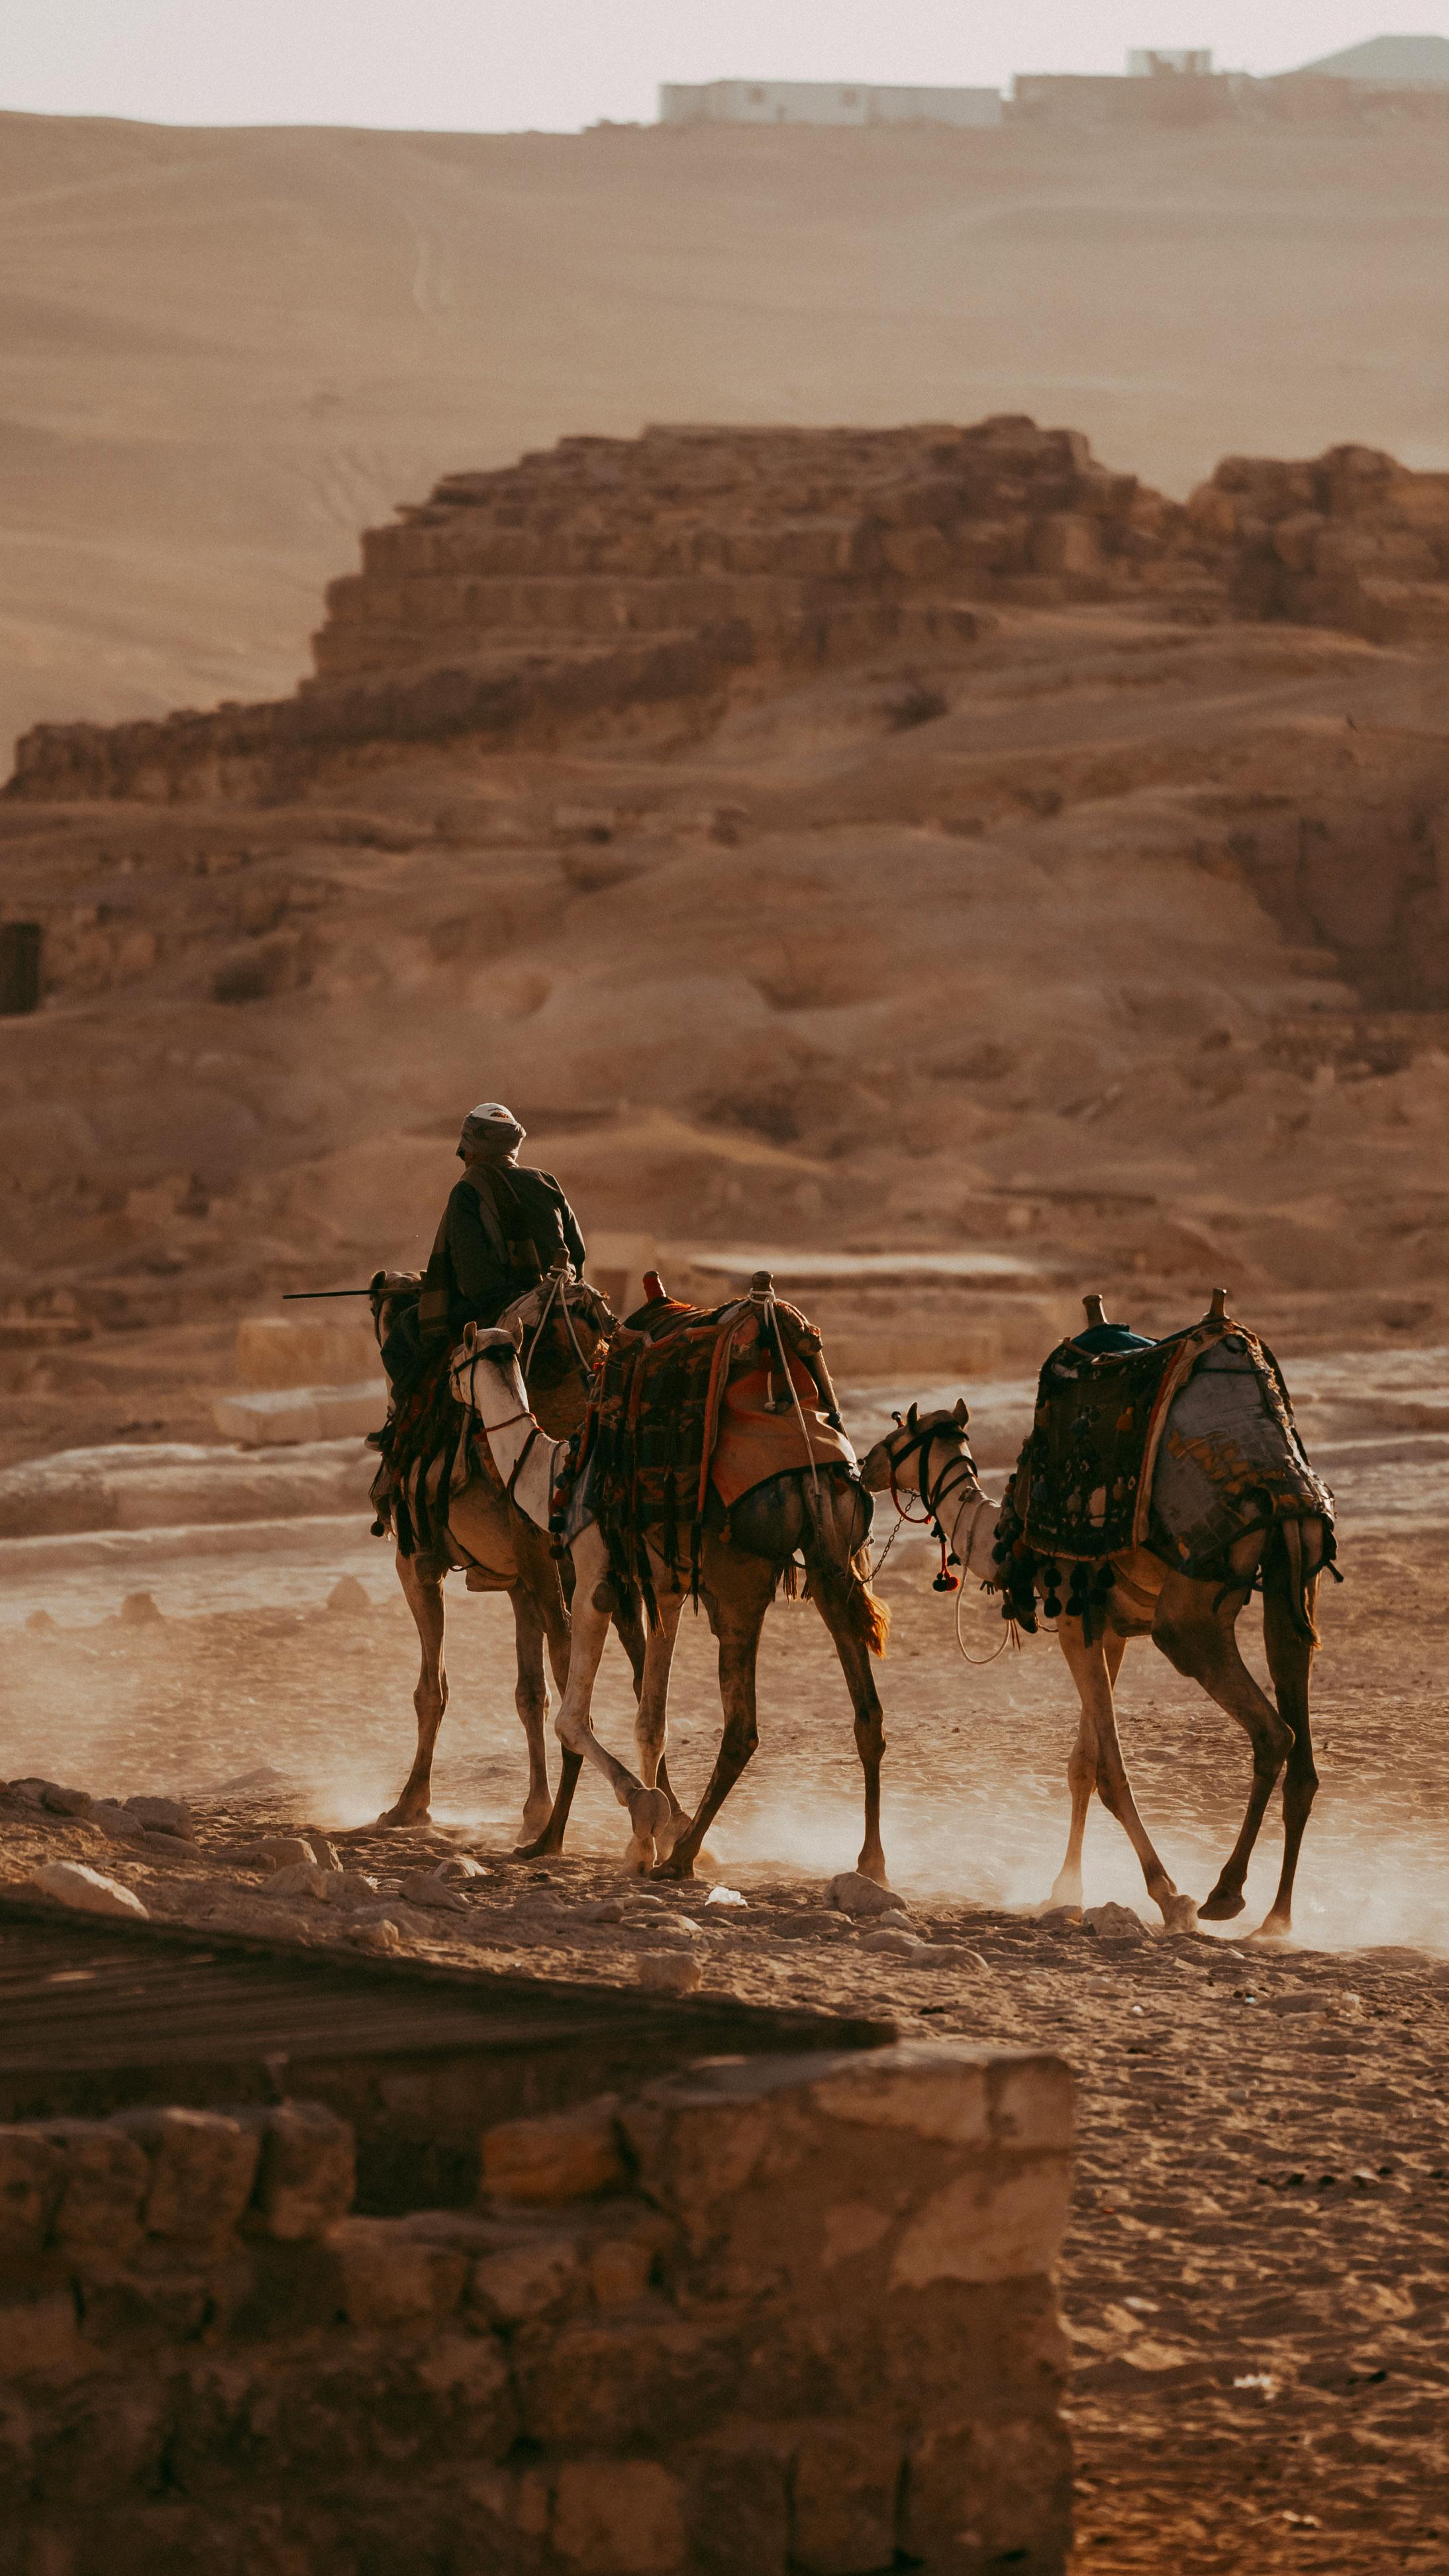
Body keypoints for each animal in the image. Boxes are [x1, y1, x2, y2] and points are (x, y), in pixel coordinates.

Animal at [363, 1262, 639, 1834]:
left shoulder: (417, 1563)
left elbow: (431, 1690)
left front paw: (410, 1803)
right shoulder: (519, 1583)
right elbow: (529, 1693)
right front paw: (535, 1809)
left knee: (572, 1653)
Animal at [446, 1298, 887, 1885]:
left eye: (456, 1359)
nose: (448, 1389)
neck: (554, 1476)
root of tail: (811, 1471)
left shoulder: (595, 1579)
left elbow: (572, 1719)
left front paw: (646, 1813)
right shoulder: (665, 1591)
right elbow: (651, 1722)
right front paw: (641, 1844)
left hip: (741, 1580)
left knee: (742, 1727)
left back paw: (683, 1858)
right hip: (837, 1558)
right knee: (868, 1712)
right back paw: (871, 1862)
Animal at [856, 1298, 1330, 1937]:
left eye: (895, 1433)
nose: (864, 1465)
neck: (1004, 1534)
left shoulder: (1076, 1622)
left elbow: (1108, 1771)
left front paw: (1168, 1896)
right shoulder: (1104, 1627)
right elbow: (1082, 1764)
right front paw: (1065, 1888)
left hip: (1190, 1616)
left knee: (1272, 1732)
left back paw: (1224, 1894)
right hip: (1294, 1579)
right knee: (1301, 1747)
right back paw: (1277, 1919)